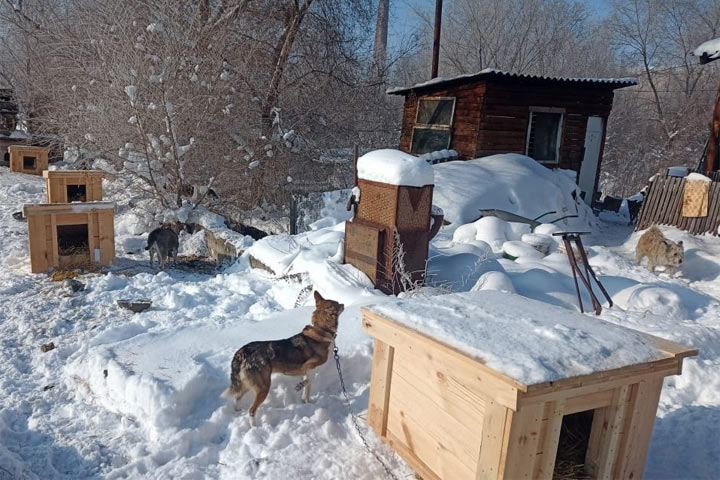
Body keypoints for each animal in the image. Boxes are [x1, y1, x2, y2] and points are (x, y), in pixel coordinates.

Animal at [219, 290, 344, 426]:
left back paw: (238, 411)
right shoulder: (309, 366)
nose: (343, 304)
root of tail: (243, 351)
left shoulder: (308, 371)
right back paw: (255, 426)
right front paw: (299, 386)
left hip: (248, 384)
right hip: (263, 386)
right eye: (337, 304)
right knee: (251, 410)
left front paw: (307, 402)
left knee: (237, 398)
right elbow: (309, 381)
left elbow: (307, 390)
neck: (321, 329)